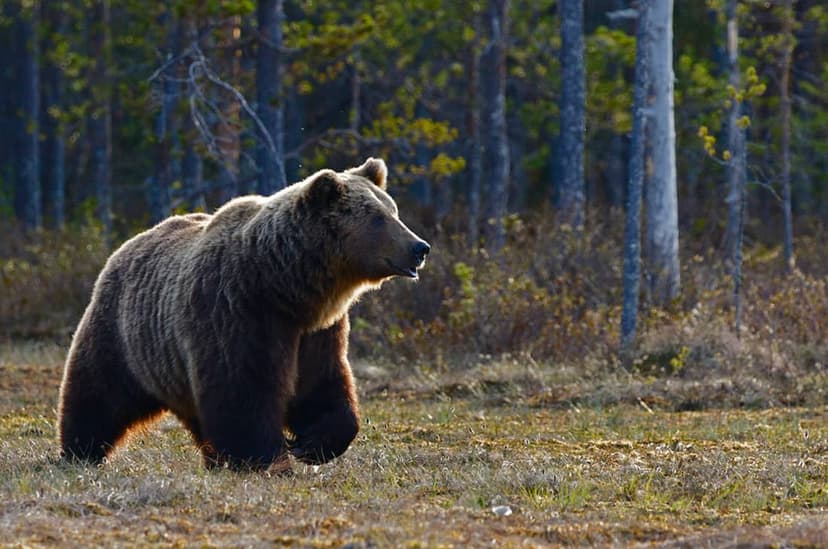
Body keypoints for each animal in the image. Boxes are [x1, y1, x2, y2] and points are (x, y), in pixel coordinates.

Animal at [57, 158, 430, 470]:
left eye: (393, 211)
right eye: (378, 218)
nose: (420, 247)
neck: (286, 287)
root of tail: (126, 245)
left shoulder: (317, 331)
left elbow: (322, 384)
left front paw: (311, 444)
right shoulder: (237, 311)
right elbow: (243, 390)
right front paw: (266, 458)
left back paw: (213, 459)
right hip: (124, 334)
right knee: (97, 392)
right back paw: (80, 451)